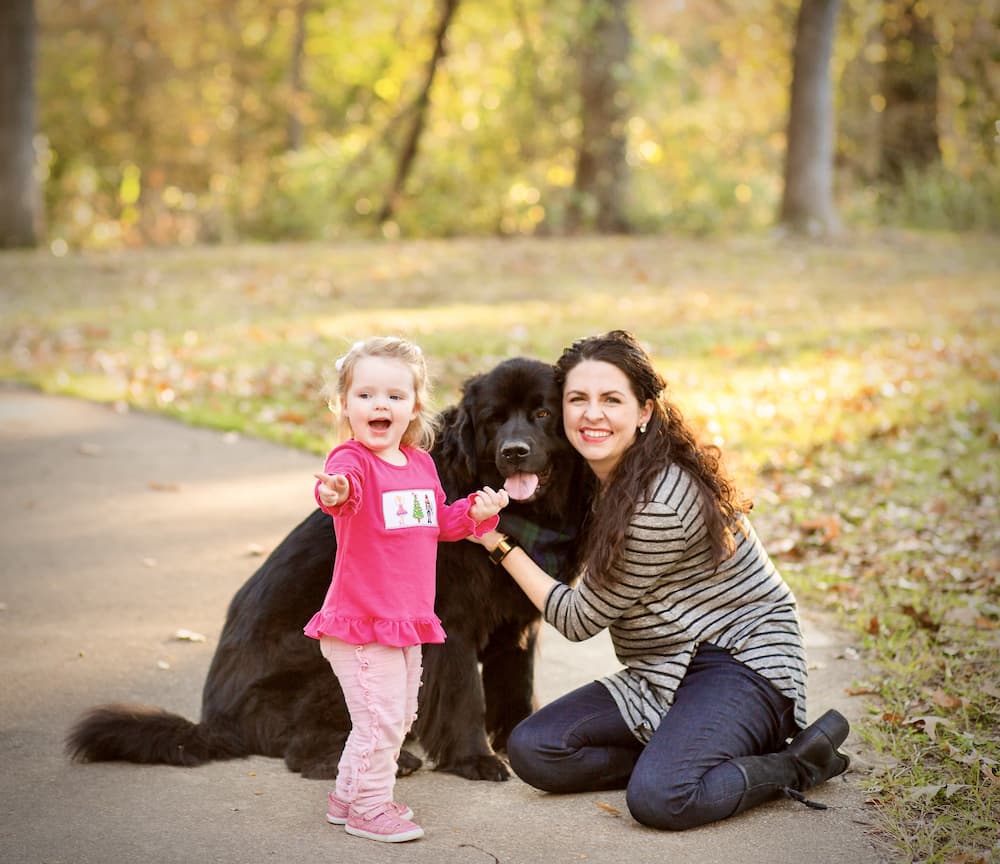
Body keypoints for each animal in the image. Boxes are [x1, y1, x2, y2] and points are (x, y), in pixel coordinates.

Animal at [66, 358, 588, 784]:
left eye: (543, 414)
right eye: (494, 419)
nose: (515, 450)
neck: (526, 516)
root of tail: (214, 721)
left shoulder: (515, 626)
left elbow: (515, 688)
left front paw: (517, 738)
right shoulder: (453, 625)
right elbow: (465, 698)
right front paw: (475, 759)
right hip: (326, 663)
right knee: (302, 750)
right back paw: (388, 760)